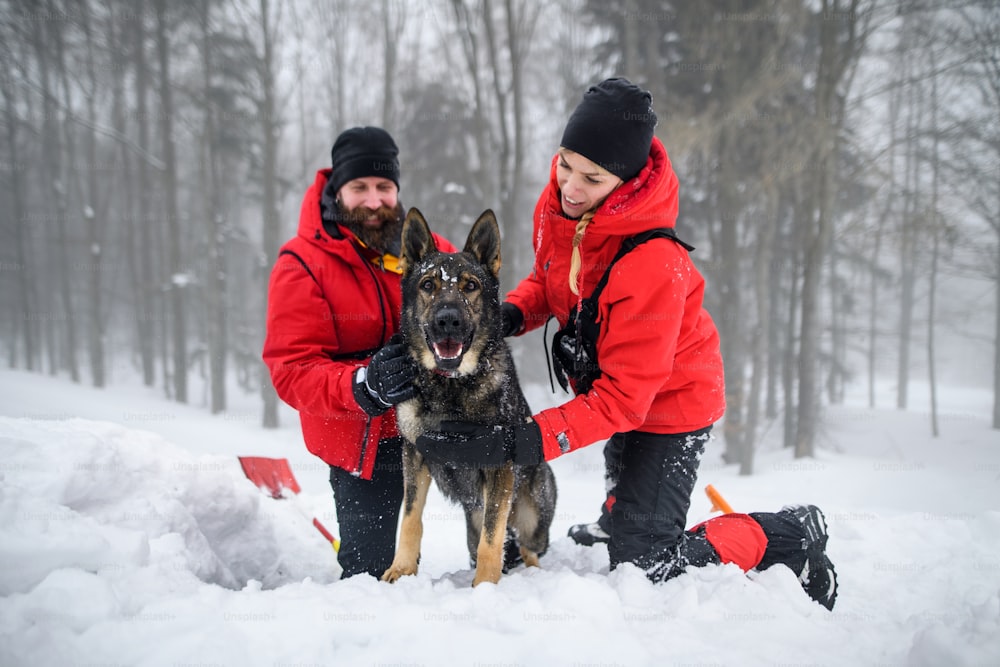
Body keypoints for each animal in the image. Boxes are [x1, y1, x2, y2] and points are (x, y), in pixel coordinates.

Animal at [380, 211, 560, 588]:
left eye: (470, 286)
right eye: (428, 285)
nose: (448, 319)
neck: (451, 387)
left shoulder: (499, 467)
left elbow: (493, 534)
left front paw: (485, 587)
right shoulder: (414, 454)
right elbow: (410, 518)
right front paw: (402, 569)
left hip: (533, 517)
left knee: (527, 547)